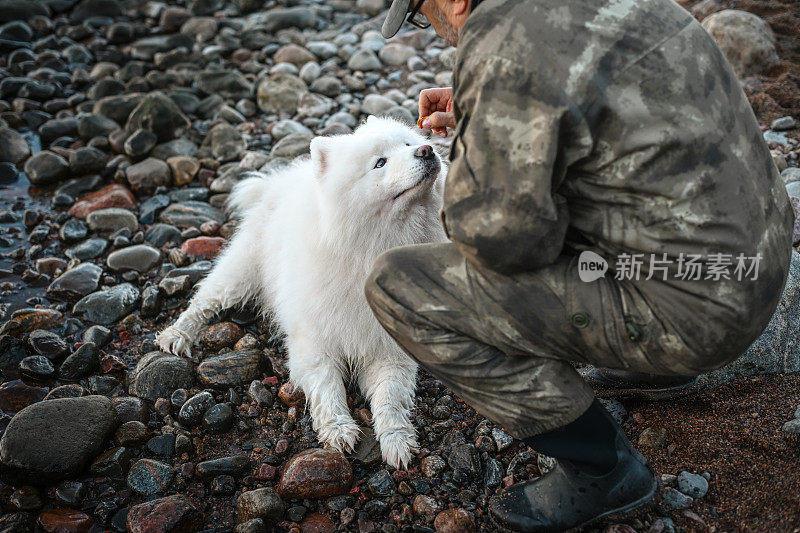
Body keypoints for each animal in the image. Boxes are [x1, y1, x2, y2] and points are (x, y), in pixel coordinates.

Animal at [156, 115, 450, 466]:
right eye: (380, 163)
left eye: (407, 144)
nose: (426, 149)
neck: (370, 251)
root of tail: (278, 182)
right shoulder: (314, 341)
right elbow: (327, 388)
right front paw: (338, 430)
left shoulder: (389, 348)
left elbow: (390, 398)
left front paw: (397, 442)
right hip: (240, 272)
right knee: (204, 301)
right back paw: (177, 334)